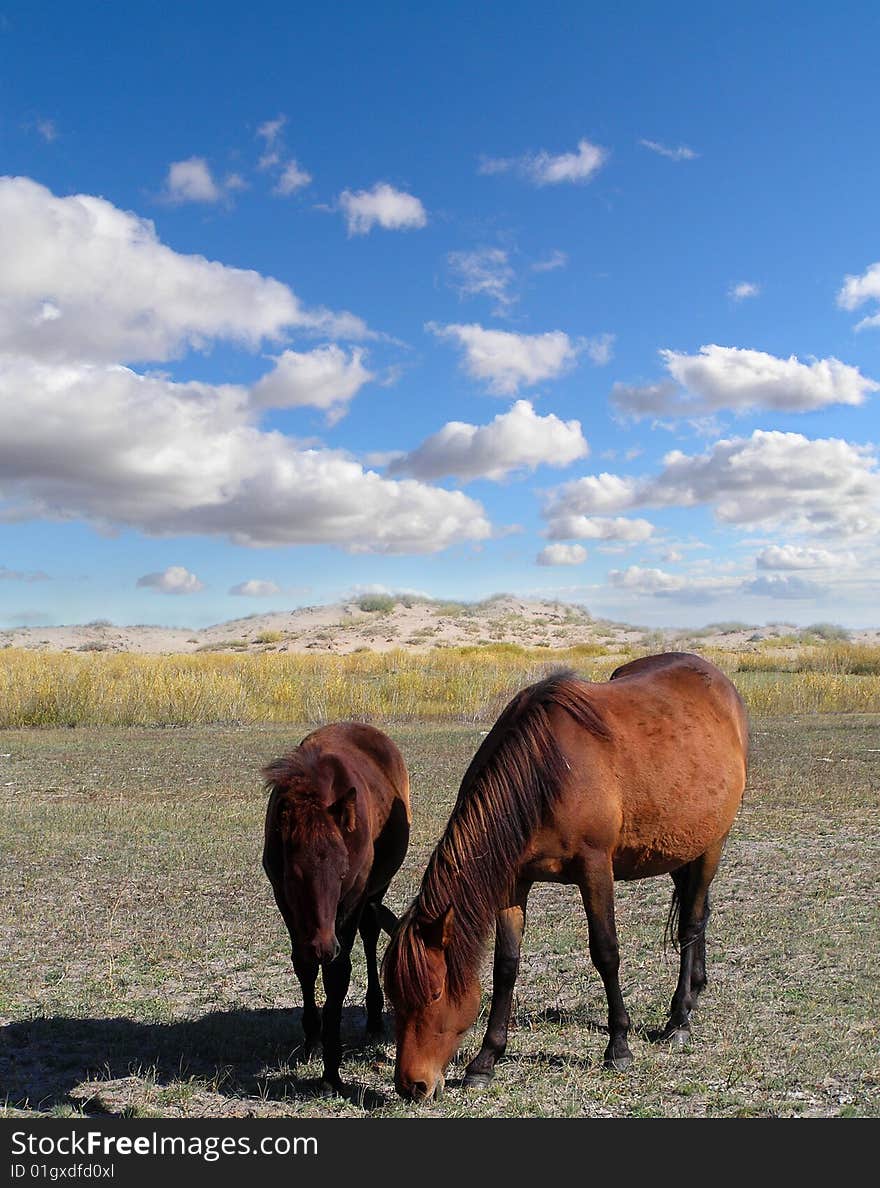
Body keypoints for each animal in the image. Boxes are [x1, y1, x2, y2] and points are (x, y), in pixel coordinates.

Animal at [262, 717, 410, 1088]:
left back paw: (375, 1018)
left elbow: (338, 975)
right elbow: (303, 965)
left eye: (343, 871)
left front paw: (332, 1065)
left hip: (376, 889)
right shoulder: (284, 899)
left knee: (370, 935)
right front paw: (312, 1039)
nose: (324, 946)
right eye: (293, 875)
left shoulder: (353, 899)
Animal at [384, 655, 750, 1097]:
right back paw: (696, 989)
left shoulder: (595, 869)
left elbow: (606, 953)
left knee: (691, 924)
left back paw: (679, 1019)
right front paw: (485, 1060)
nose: (412, 1085)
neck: (547, 773)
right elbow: (505, 966)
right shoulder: (513, 882)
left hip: (712, 844)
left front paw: (619, 1046)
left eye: (435, 992)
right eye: (392, 996)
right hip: (679, 848)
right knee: (699, 914)